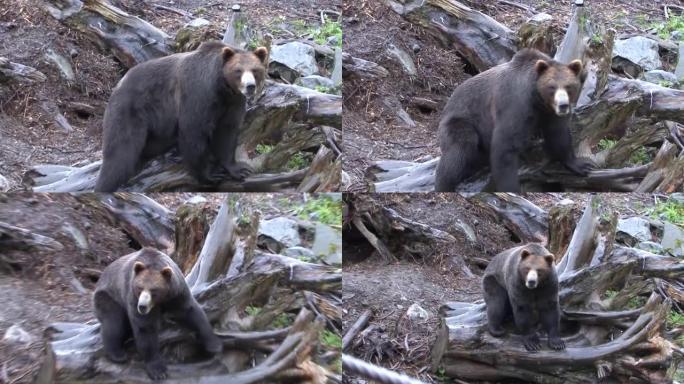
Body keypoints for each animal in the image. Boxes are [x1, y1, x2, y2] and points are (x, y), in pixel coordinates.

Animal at [93, 248, 222, 380]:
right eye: (139, 288)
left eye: (154, 290)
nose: (142, 306)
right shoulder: (132, 294)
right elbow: (145, 328)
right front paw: (158, 370)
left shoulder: (177, 292)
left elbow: (192, 311)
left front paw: (214, 345)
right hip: (109, 295)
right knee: (114, 321)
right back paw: (117, 354)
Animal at [94, 41, 270, 191]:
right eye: (238, 70)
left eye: (255, 70)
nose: (250, 86)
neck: (222, 88)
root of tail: (118, 84)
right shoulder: (199, 94)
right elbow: (193, 131)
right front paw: (209, 174)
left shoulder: (232, 103)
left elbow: (227, 132)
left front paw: (239, 169)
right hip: (131, 110)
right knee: (121, 152)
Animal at [438, 48, 592, 192]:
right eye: (551, 87)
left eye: (569, 86)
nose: (563, 105)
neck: (537, 99)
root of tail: (447, 104)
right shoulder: (516, 103)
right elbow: (505, 144)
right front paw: (510, 187)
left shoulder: (549, 113)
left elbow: (558, 134)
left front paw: (581, 164)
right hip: (462, 120)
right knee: (460, 149)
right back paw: (444, 184)